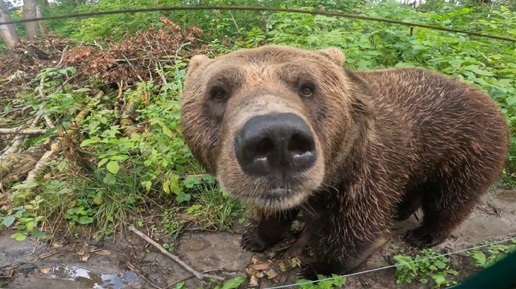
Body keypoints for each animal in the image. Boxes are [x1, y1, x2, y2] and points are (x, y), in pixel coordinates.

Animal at [179, 45, 510, 276]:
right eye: (217, 91)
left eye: (308, 87)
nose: (277, 140)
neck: (333, 173)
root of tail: (489, 100)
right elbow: (273, 212)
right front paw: (255, 237)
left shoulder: (365, 173)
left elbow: (356, 231)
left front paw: (316, 265)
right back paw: (403, 209)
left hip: (466, 147)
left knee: (451, 198)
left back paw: (424, 234)